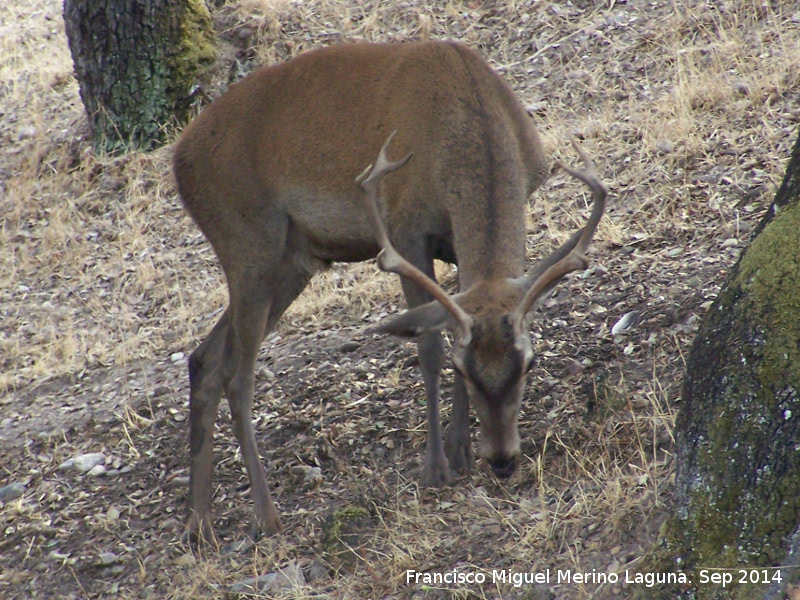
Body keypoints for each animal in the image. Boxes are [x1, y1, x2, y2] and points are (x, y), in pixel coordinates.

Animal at [173, 38, 608, 544]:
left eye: (528, 363)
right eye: (464, 367)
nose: (502, 460)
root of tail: (177, 161)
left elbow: (454, 317)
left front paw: (460, 450)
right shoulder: (405, 229)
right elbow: (429, 345)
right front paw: (436, 467)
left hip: (290, 261)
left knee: (204, 359)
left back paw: (198, 522)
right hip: (247, 243)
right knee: (237, 376)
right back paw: (266, 516)